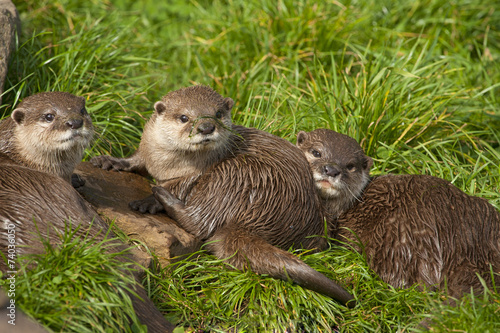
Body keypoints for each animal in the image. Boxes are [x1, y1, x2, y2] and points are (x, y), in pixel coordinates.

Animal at [91, 85, 356, 306]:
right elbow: (136, 160)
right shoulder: (148, 151)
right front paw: (111, 162)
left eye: (217, 113)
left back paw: (162, 198)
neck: (167, 164)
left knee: (201, 223)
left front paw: (148, 201)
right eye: (184, 117)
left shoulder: (195, 174)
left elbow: (179, 186)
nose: (206, 127)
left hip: (236, 175)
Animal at [296, 128, 500, 296]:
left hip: (396, 236)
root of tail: (463, 246)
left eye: (350, 166)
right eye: (316, 152)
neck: (346, 208)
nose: (331, 169)